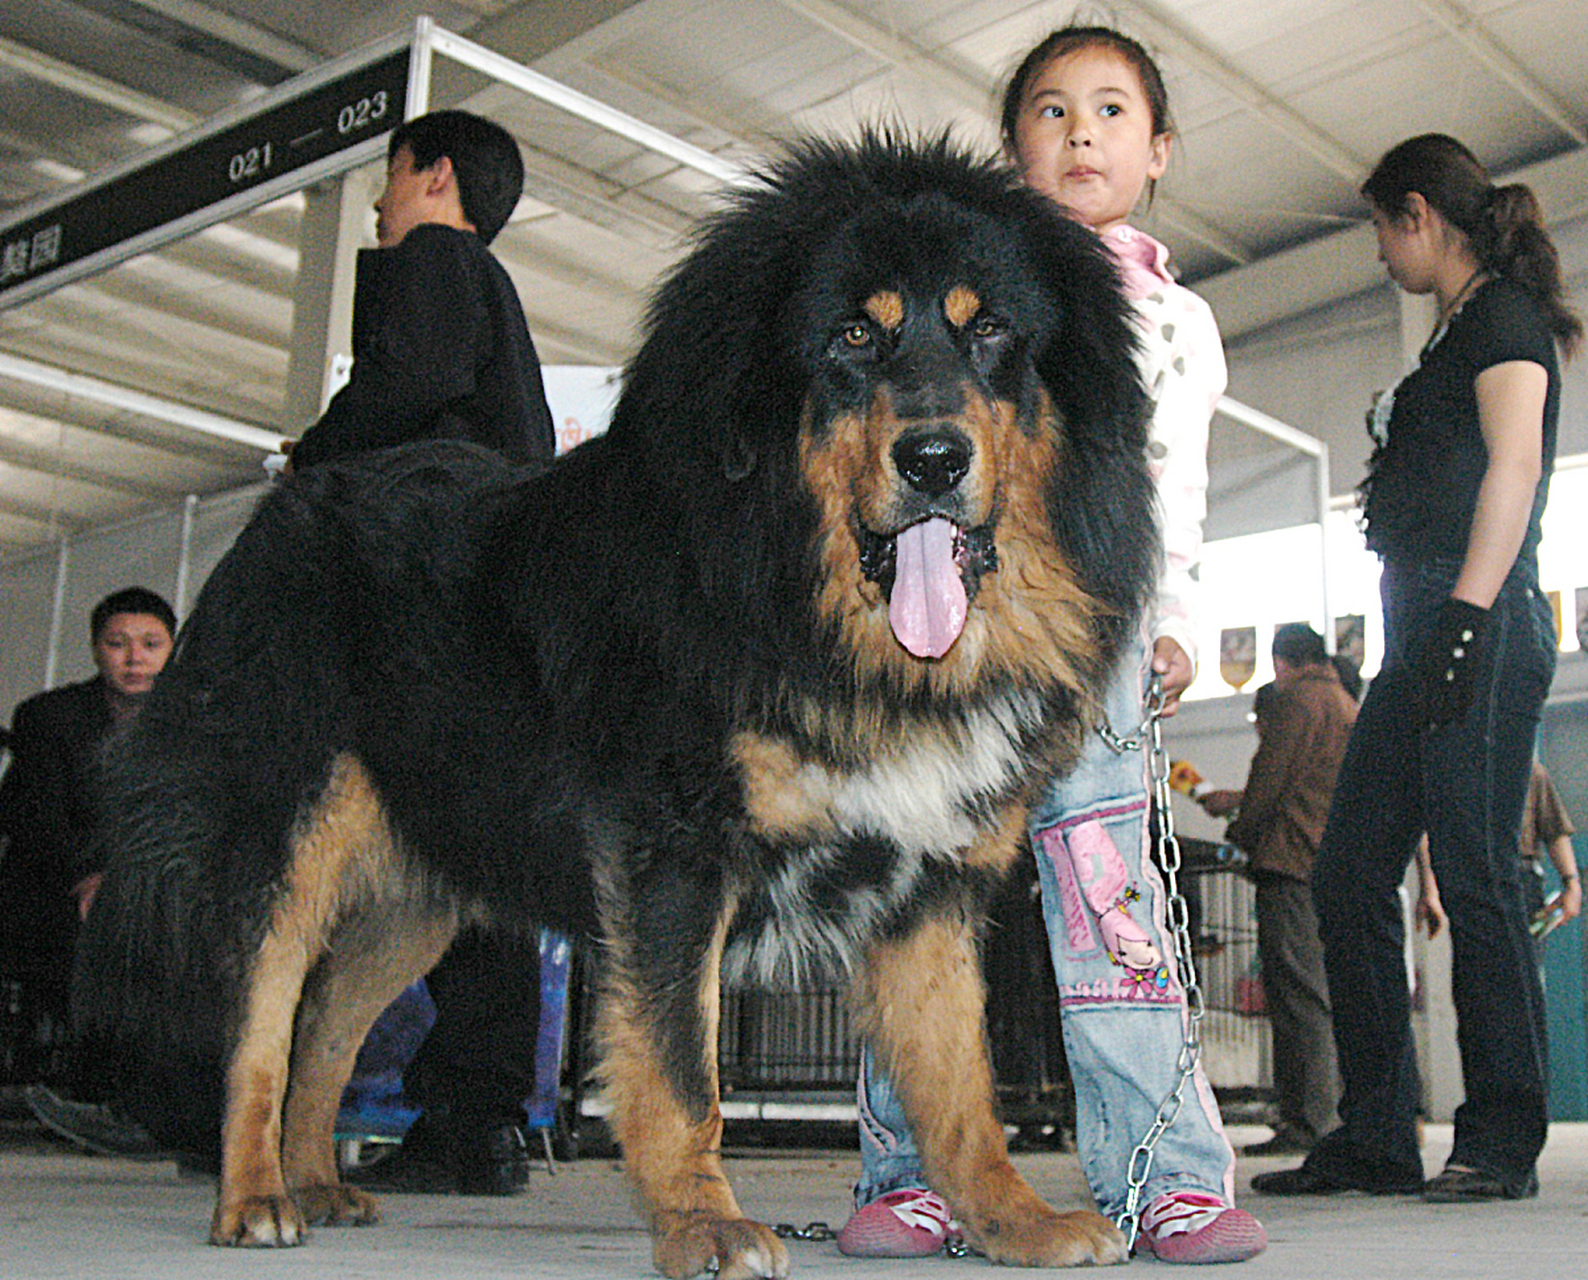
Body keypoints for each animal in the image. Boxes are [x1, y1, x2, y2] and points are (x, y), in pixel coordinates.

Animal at [77, 134, 1156, 1276]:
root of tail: (277, 510)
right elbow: (682, 1073)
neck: (810, 609)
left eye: (988, 330)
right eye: (855, 336)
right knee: (259, 1022)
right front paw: (702, 1222)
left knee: (326, 1022)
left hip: (423, 884)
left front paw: (1010, 1217)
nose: (935, 458)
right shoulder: (673, 851)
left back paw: (317, 1176)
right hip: (290, 826)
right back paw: (253, 1194)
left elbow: (959, 1083)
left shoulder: (931, 879)